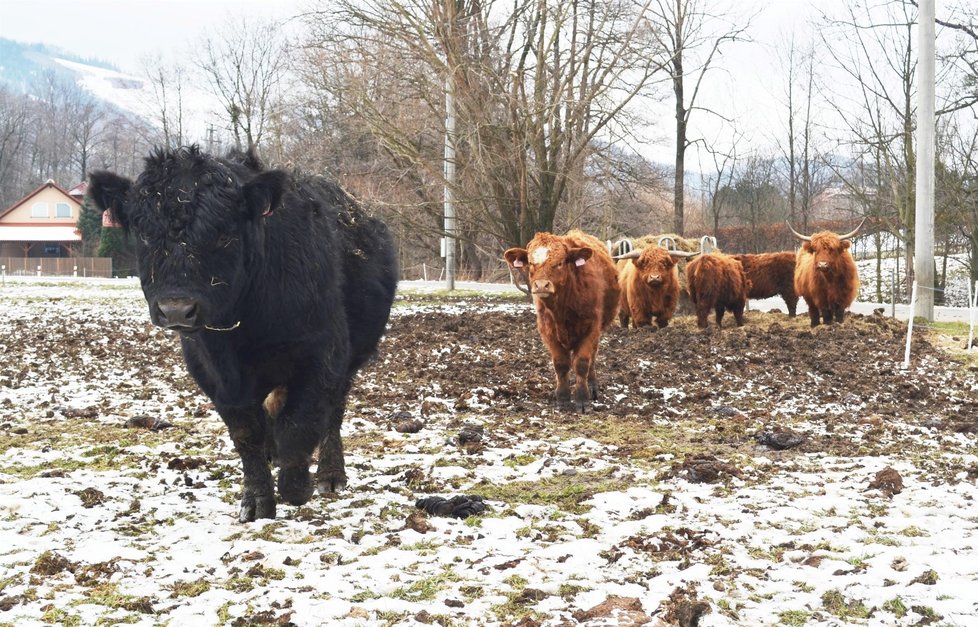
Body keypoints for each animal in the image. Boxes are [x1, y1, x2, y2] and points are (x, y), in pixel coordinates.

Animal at [88, 146, 396, 520]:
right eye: (146, 235)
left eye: (223, 236)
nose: (176, 308)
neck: (244, 329)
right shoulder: (214, 372)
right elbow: (246, 434)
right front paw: (257, 500)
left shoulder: (324, 354)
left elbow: (301, 423)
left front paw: (296, 486)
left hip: (351, 356)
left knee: (332, 412)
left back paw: (330, 475)